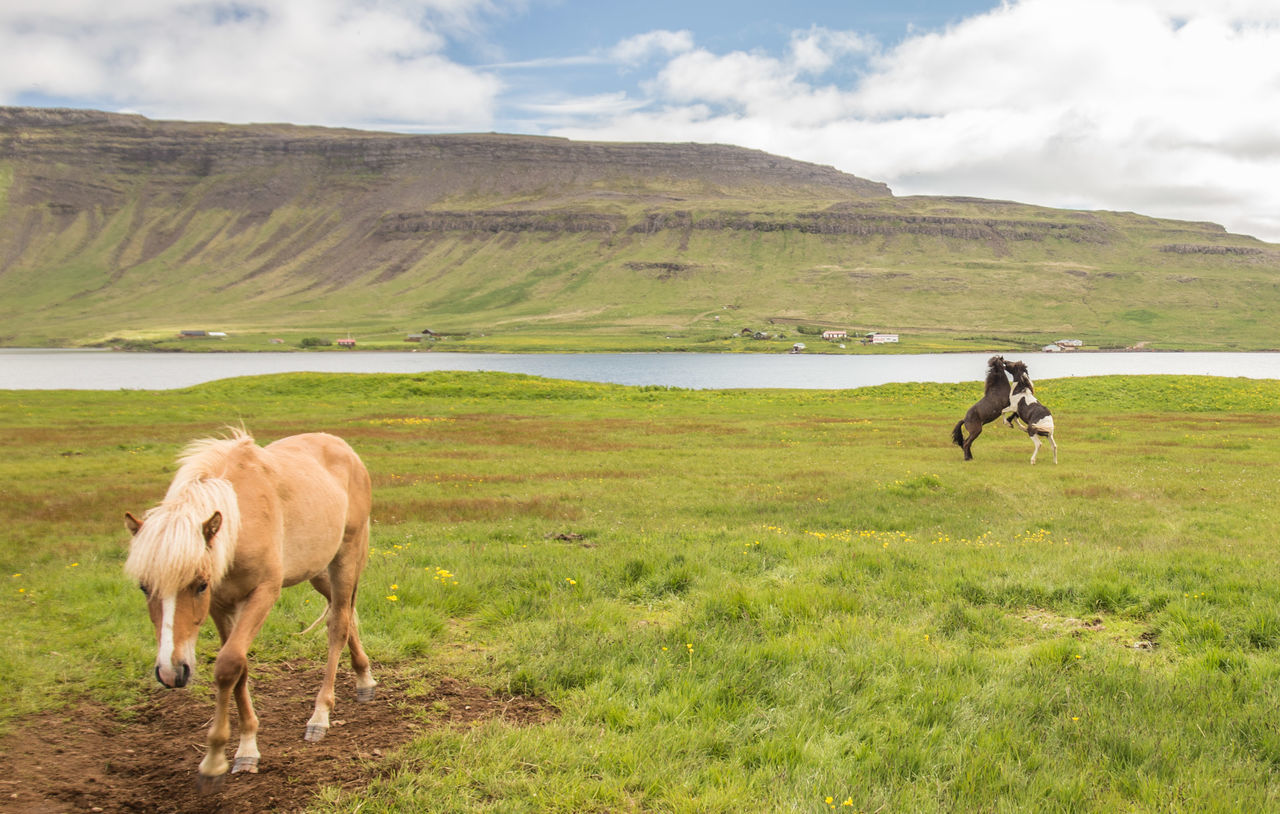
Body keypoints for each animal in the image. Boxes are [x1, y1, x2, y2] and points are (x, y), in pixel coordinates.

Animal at [124, 430, 373, 793]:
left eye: (199, 584)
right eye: (144, 587)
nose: (171, 672)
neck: (241, 521)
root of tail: (343, 447)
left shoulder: (262, 594)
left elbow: (229, 664)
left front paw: (215, 761)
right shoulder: (221, 606)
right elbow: (238, 668)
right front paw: (245, 749)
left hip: (346, 556)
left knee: (338, 624)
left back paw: (320, 715)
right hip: (317, 570)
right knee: (346, 613)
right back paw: (364, 677)